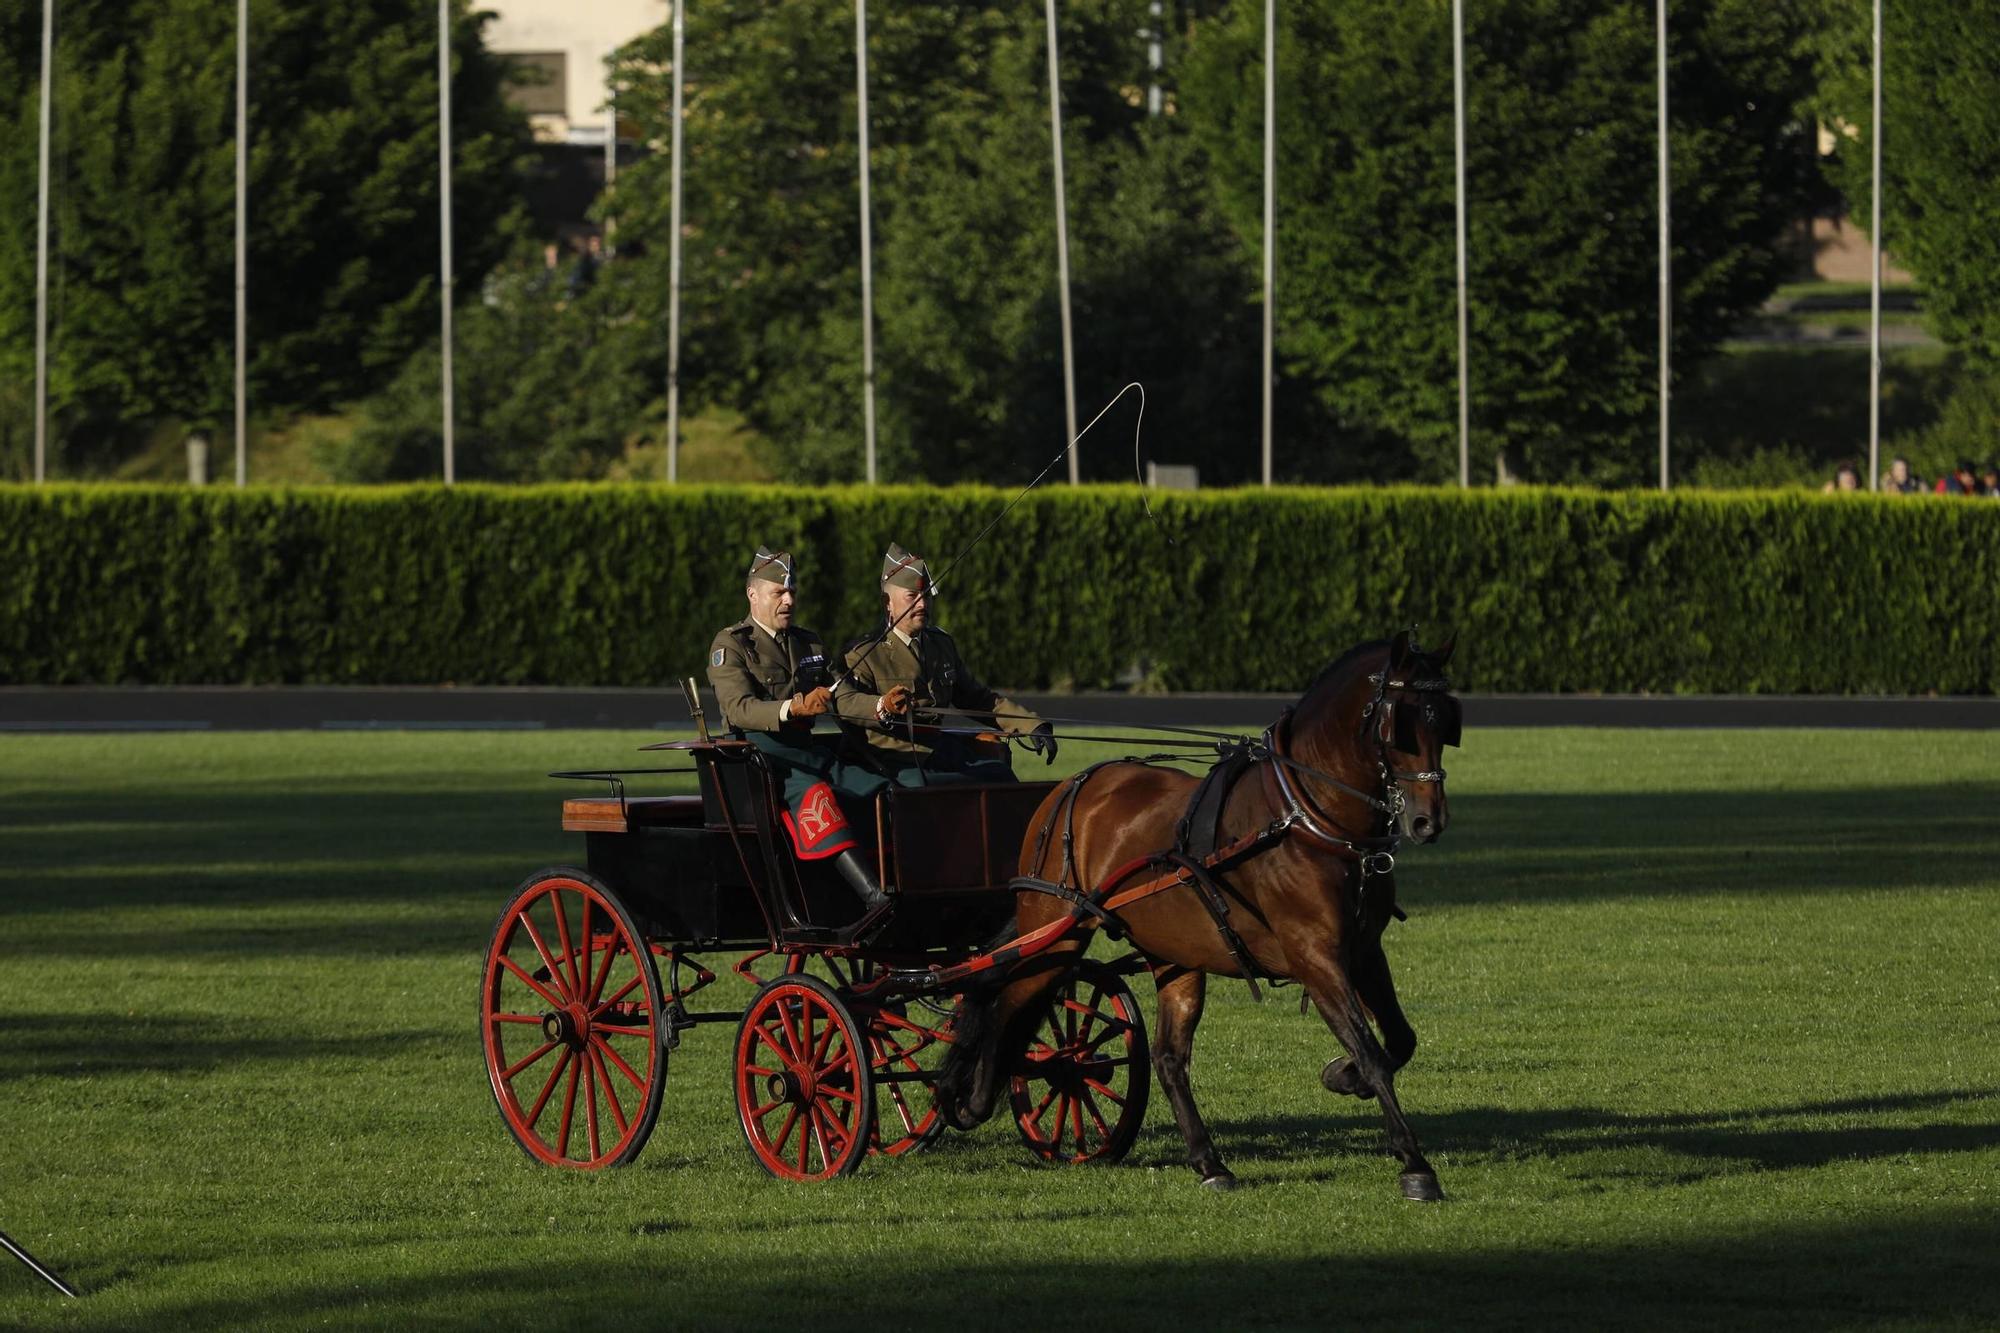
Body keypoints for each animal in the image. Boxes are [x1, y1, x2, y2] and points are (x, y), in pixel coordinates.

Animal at [928, 628, 1464, 1200]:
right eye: (1401, 721)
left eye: (1445, 720)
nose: (1428, 821)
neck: (1304, 818)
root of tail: (1073, 788)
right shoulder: (1315, 956)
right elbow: (1371, 1052)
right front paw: (1414, 1163)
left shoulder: (1363, 951)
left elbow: (1398, 1041)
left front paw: (1342, 1076)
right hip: (1055, 933)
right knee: (1005, 1005)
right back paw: (974, 1100)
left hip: (1173, 956)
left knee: (1167, 1058)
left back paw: (1209, 1161)